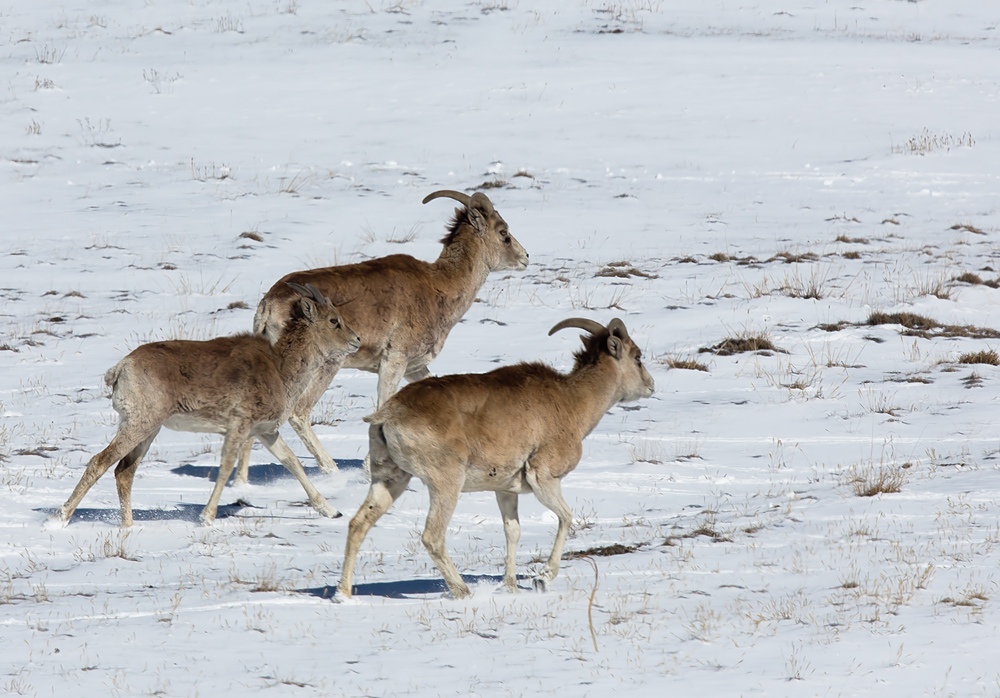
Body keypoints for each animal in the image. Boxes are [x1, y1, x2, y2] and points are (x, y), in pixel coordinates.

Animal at [50, 280, 362, 524]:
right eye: (333, 320)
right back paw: (60, 519)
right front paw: (207, 517)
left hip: (147, 430)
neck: (280, 369)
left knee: (124, 472)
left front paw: (331, 511)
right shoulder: (238, 426)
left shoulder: (265, 432)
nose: (357, 339)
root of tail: (121, 368)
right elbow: (226, 468)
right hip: (139, 426)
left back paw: (128, 527)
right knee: (99, 462)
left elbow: (292, 462)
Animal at [235, 188, 532, 482]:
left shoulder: (414, 368)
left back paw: (242, 481)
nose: (526, 257)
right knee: (299, 412)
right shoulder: (394, 361)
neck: (439, 289)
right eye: (503, 232)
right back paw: (330, 469)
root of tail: (269, 304)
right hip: (324, 365)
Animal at [336, 316, 656, 600]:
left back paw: (343, 595)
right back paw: (464, 592)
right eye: (637, 357)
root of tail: (387, 415)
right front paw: (542, 579)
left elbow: (512, 531)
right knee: (432, 536)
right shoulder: (544, 478)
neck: (572, 405)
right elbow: (566, 517)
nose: (651, 385)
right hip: (445, 485)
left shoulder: (505, 491)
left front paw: (511, 587)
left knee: (358, 524)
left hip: (390, 479)